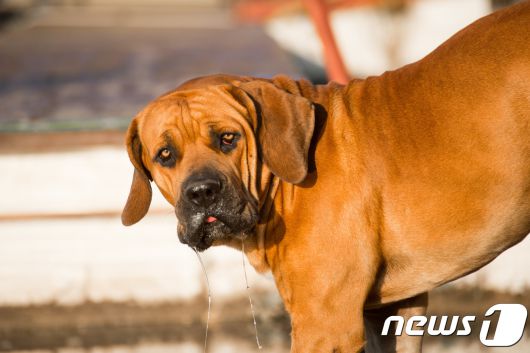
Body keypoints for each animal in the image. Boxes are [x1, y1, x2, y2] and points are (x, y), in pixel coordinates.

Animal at [121, 3, 528, 352]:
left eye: (227, 138)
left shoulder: (325, 324)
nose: (202, 192)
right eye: (165, 154)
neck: (282, 188)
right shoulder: (393, 310)